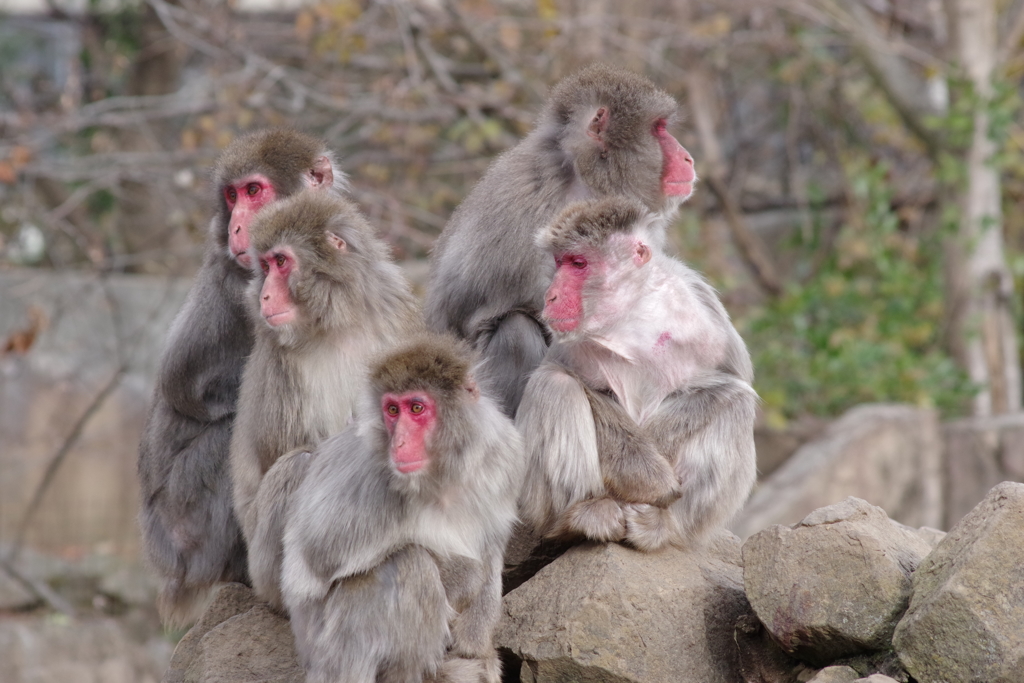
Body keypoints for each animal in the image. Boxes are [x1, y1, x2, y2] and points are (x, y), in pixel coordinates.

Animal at [138, 126, 346, 626]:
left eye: (254, 191)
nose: (236, 226)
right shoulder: (247, 293)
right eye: (232, 196)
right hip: (187, 526)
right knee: (230, 433)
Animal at [232, 188, 419, 610]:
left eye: (280, 262)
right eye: (264, 265)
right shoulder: (278, 361)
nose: (264, 294)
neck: (337, 322)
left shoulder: (397, 317)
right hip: (261, 567)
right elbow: (281, 452)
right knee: (297, 464)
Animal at [280, 333, 524, 683]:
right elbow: (320, 550)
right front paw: (466, 574)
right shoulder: (373, 475)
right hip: (328, 650)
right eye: (392, 410)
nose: (398, 443)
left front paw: (476, 646)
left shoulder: (505, 456)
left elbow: (492, 544)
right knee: (411, 564)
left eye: (417, 408)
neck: (442, 474)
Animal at [516, 196, 757, 557]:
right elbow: (570, 378)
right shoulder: (572, 340)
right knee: (554, 386)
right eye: (560, 262)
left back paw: (664, 527)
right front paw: (648, 477)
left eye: (578, 263)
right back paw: (581, 518)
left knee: (737, 405)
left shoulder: (705, 318)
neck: (635, 312)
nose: (551, 295)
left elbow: (728, 383)